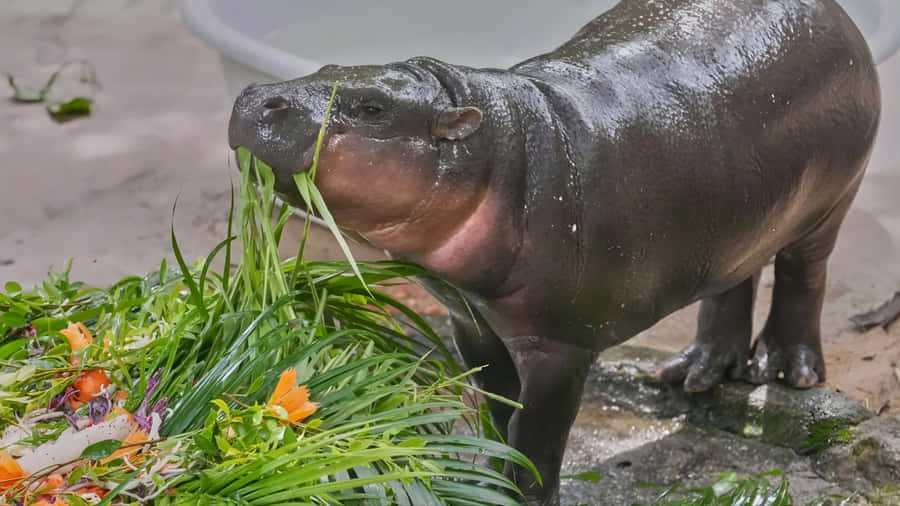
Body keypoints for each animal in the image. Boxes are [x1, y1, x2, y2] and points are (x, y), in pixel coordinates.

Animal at [228, 0, 881, 503]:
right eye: (327, 66)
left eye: (372, 108)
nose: (256, 96)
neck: (500, 148)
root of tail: (835, 12)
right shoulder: (469, 320)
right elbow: (496, 405)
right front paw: (488, 479)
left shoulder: (560, 345)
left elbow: (537, 429)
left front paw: (523, 493)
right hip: (741, 217)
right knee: (734, 279)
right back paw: (693, 374)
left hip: (831, 201)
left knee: (803, 274)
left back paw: (785, 370)